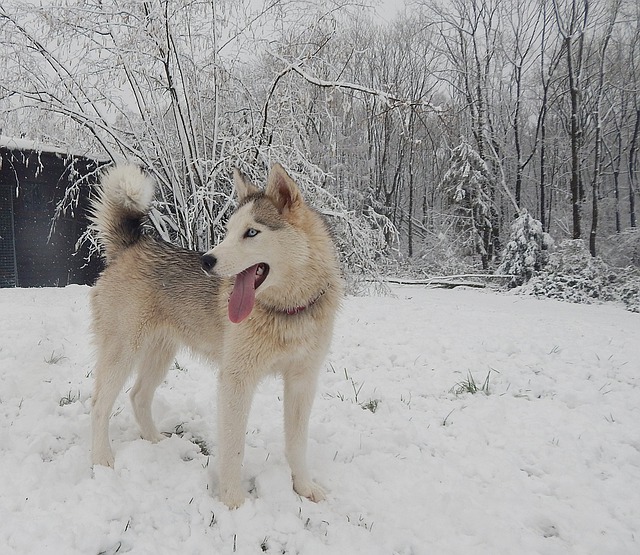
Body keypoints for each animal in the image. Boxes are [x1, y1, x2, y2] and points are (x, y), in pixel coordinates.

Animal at [89, 162, 344, 508]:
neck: (287, 311)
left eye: (252, 232)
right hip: (123, 352)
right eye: (228, 231)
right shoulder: (236, 380)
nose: (206, 260)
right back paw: (101, 459)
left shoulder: (303, 382)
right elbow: (234, 448)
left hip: (160, 354)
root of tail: (133, 245)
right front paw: (233, 501)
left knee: (138, 395)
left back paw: (154, 441)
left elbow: (297, 444)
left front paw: (304, 488)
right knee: (100, 405)